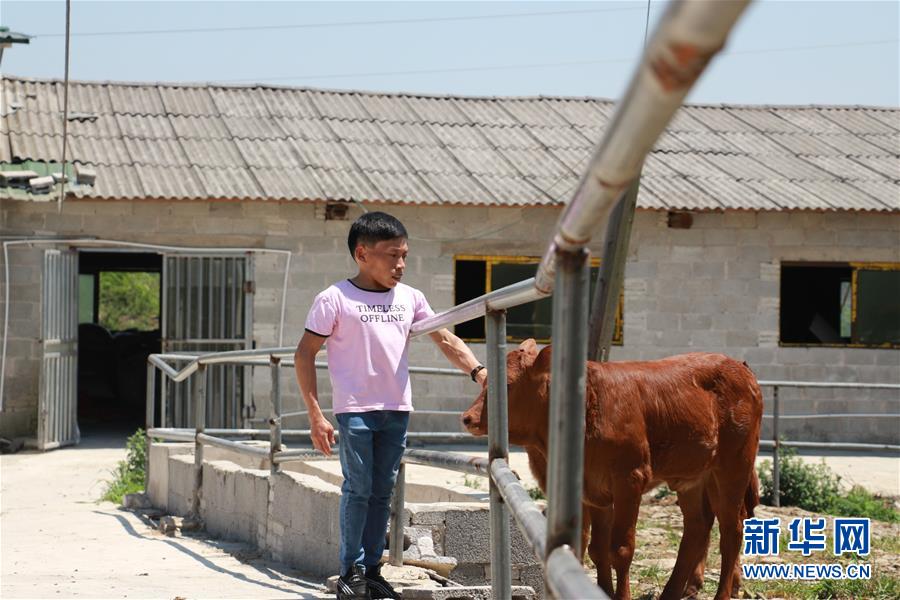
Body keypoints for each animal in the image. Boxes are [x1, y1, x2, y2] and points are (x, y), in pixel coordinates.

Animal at [460, 342, 764, 600]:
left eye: (508, 386)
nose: (467, 418)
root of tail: (739, 366)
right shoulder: (594, 488)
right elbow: (597, 549)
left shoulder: (630, 479)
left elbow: (620, 549)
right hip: (693, 477)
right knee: (697, 528)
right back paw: (672, 593)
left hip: (734, 466)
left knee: (732, 530)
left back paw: (722, 593)